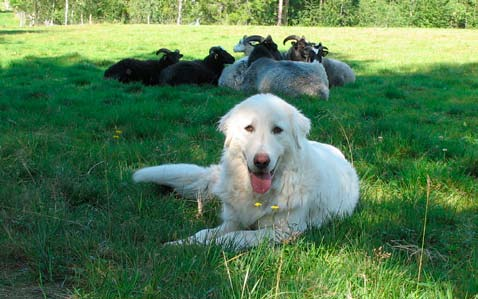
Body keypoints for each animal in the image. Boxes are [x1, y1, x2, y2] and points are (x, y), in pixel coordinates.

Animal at [134, 94, 358, 251]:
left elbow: (233, 237)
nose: (261, 161)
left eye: (277, 130)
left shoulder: (284, 231)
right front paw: (179, 244)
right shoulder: (232, 220)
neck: (257, 194)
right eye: (249, 128)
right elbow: (203, 233)